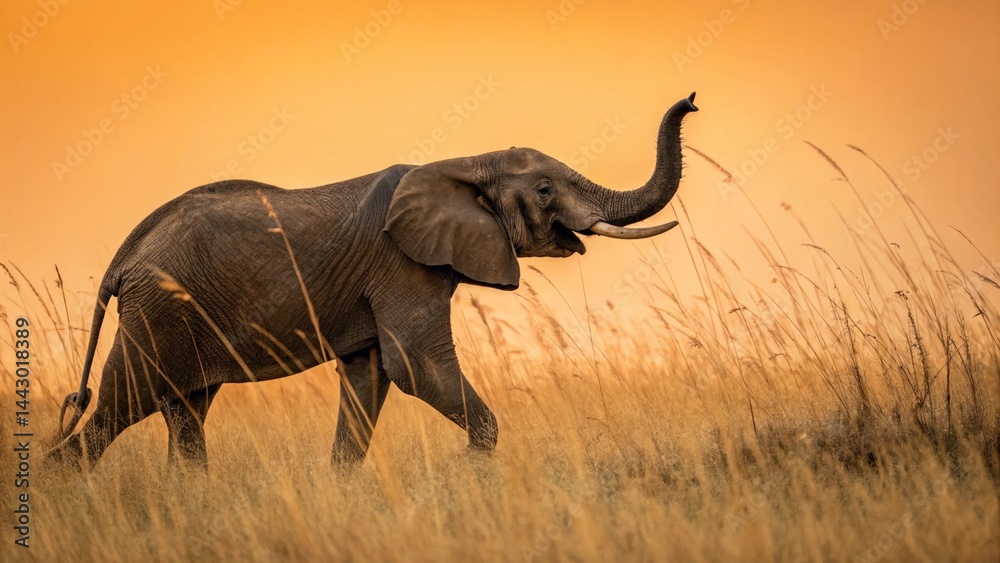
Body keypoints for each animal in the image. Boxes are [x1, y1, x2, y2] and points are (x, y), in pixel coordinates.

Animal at [50, 92, 698, 468]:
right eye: (543, 190)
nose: (691, 100)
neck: (466, 161)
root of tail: (127, 254)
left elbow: (370, 377)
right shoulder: (402, 266)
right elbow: (415, 367)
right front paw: (473, 470)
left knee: (185, 410)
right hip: (158, 310)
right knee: (120, 404)